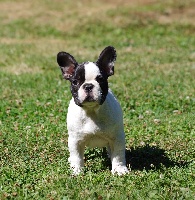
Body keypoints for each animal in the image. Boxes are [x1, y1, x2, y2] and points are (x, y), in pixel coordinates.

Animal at [56, 46, 128, 175]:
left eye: (101, 80)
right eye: (75, 82)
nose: (88, 86)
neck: (91, 111)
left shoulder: (117, 137)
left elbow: (118, 155)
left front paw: (119, 169)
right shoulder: (75, 140)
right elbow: (77, 157)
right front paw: (77, 171)